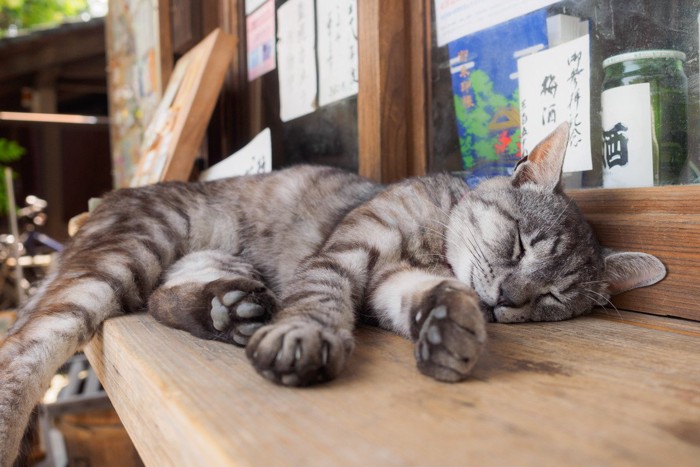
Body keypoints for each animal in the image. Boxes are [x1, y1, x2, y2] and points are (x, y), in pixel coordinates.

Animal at [0, 122, 668, 462]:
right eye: (523, 244)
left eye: (551, 299)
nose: (507, 297)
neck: (434, 242)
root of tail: (103, 205)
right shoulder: (351, 249)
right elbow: (322, 297)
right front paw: (304, 335)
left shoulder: (390, 284)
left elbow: (427, 295)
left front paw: (451, 324)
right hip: (129, 254)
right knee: (24, 348)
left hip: (201, 259)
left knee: (167, 299)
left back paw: (229, 310)